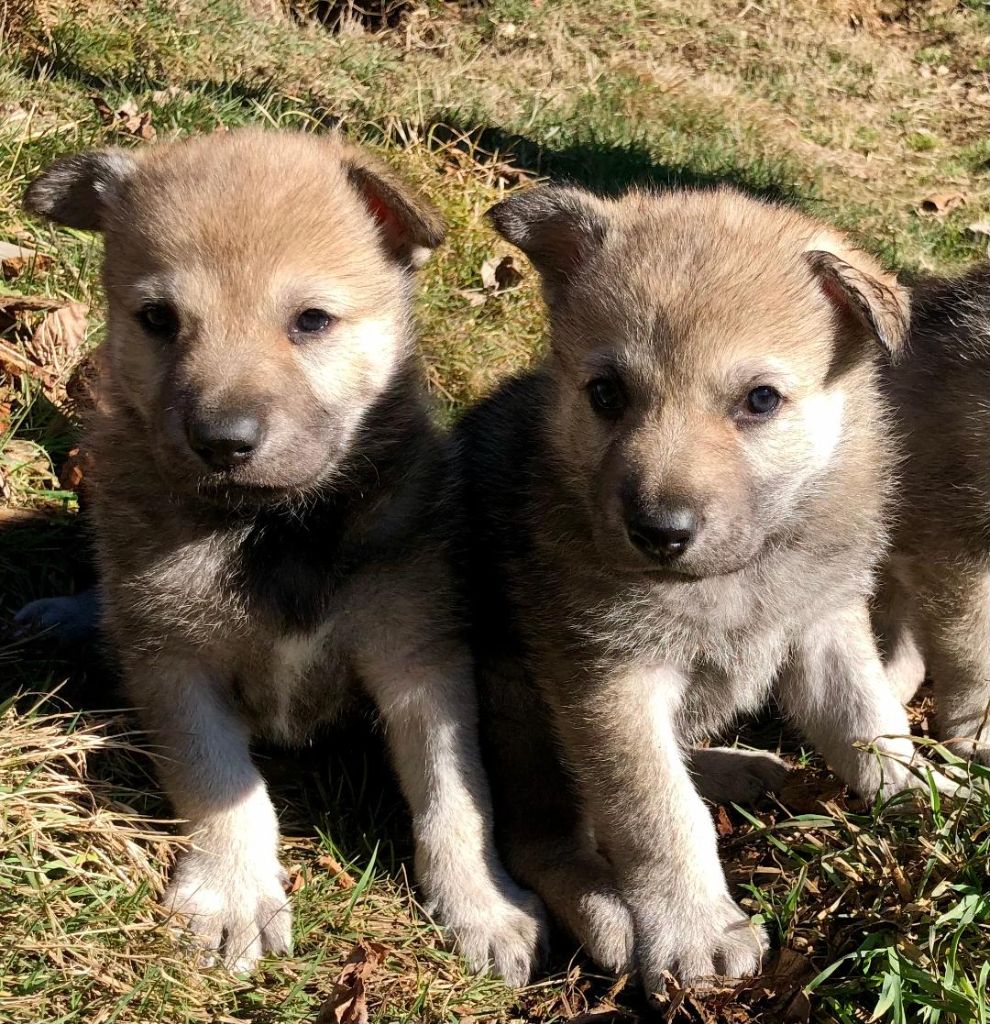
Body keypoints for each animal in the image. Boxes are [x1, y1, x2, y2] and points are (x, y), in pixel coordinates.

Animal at [23, 132, 544, 978]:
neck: (274, 529)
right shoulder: (171, 658)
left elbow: (455, 796)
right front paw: (234, 894)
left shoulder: (419, 658)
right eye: (158, 318)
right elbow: (219, 779)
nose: (222, 441)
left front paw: (483, 904)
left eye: (311, 320)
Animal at [456, 184, 937, 991]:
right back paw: (613, 918)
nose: (659, 530)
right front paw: (695, 932)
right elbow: (658, 815)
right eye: (606, 393)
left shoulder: (824, 627)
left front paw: (932, 798)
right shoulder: (607, 680)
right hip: (518, 707)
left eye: (760, 400)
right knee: (543, 839)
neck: (736, 578)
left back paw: (737, 767)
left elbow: (871, 722)